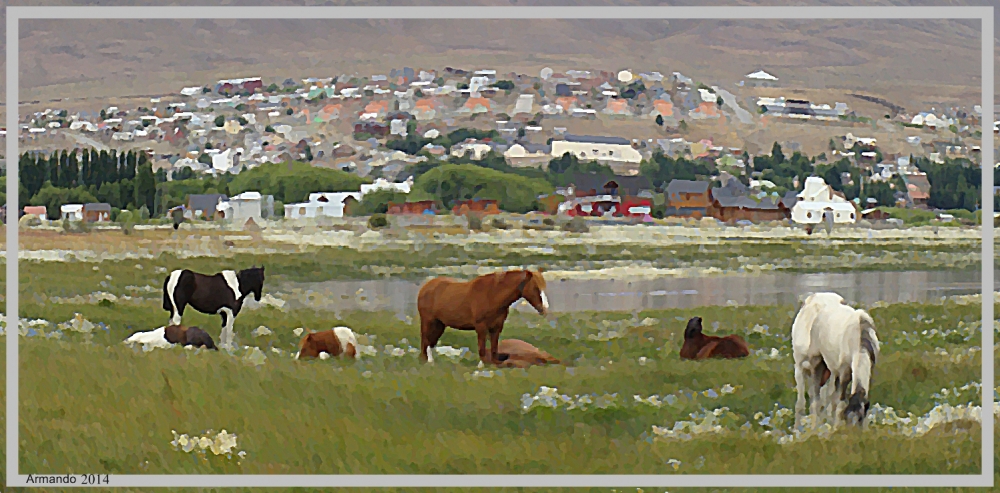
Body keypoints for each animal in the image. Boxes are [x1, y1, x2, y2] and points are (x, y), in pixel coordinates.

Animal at [418, 270, 552, 366]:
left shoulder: (497, 328)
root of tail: (425, 287)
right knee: (425, 341)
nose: (545, 309)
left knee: (431, 343)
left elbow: (494, 351)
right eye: (535, 288)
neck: (492, 294)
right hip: (428, 322)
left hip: (440, 324)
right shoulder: (481, 327)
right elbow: (482, 350)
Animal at [792, 292, 880, 426]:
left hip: (830, 371)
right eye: (848, 419)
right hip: (811, 364)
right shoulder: (844, 371)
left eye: (860, 421)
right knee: (809, 402)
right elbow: (840, 404)